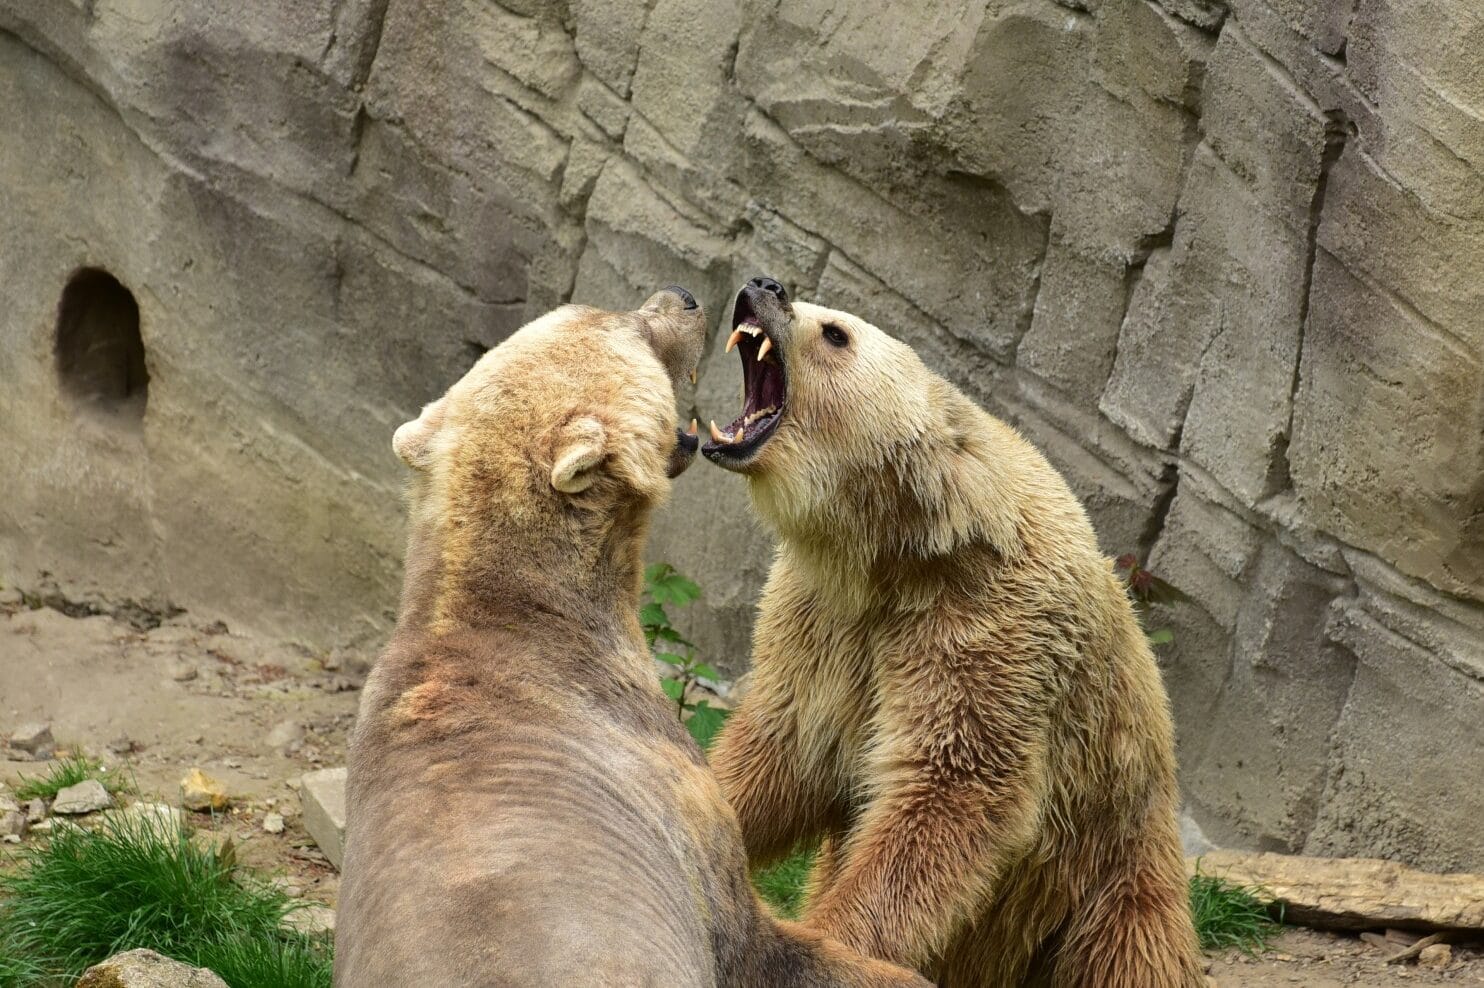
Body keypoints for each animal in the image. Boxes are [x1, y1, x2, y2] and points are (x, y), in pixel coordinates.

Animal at [700, 277, 1203, 988]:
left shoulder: (988, 633)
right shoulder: (823, 621)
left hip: (1107, 876)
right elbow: (783, 747)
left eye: (836, 331)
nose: (762, 286)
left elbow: (949, 791)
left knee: (1129, 954)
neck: (900, 553)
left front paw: (828, 946)